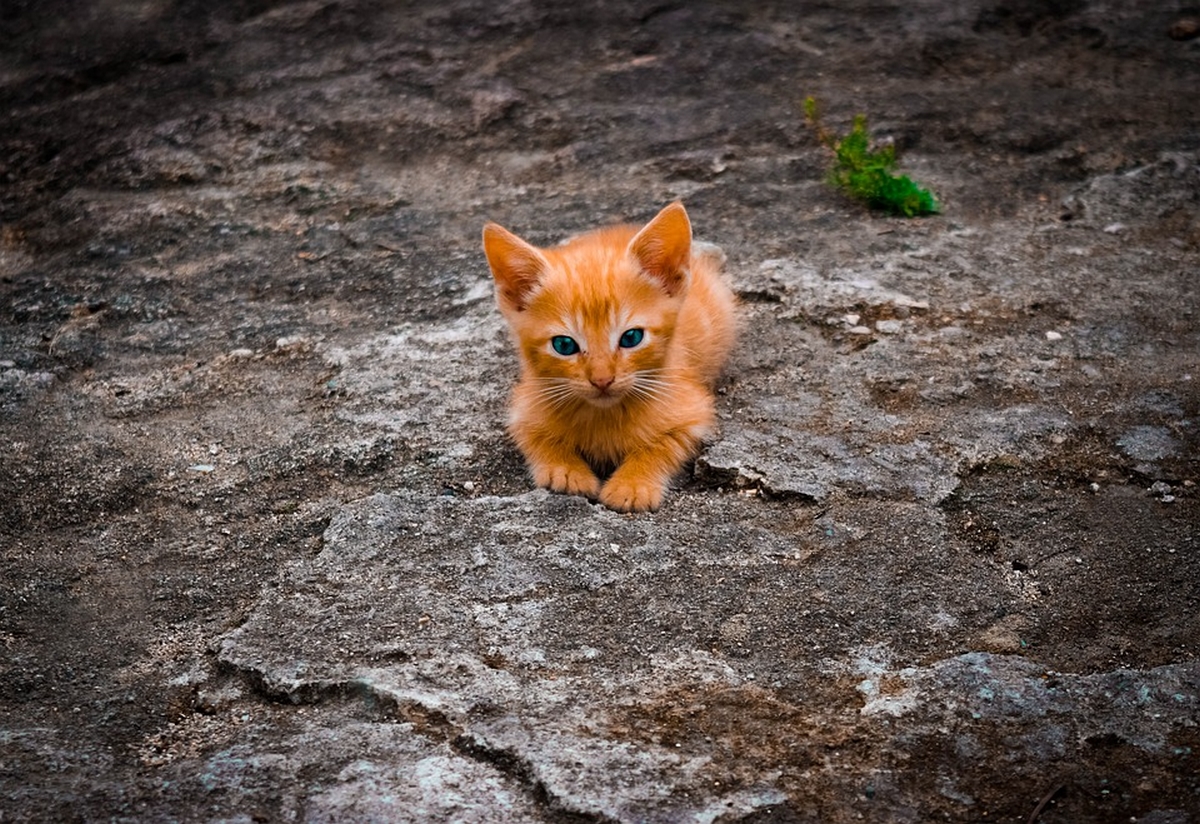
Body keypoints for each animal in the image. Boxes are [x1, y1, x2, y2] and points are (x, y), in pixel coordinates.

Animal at [482, 202, 734, 513]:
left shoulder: (692, 409)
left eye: (631, 338)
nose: (602, 380)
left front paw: (632, 484)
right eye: (564, 344)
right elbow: (537, 438)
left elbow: (663, 444)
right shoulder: (524, 406)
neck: (604, 414)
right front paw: (566, 471)